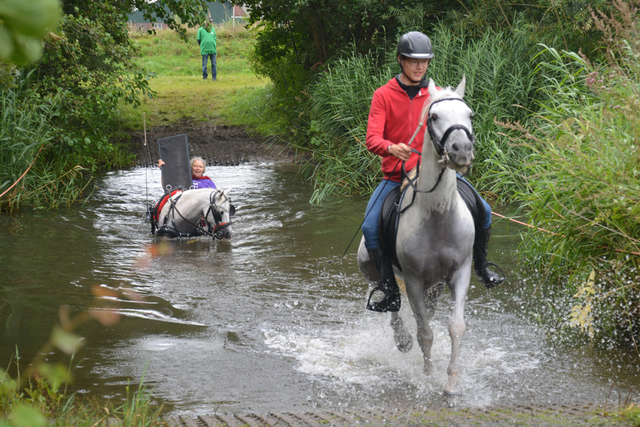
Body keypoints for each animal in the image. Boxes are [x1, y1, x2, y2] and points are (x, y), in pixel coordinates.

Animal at [358, 77, 478, 404]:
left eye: (470, 115)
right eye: (434, 117)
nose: (462, 150)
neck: (438, 217)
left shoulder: (461, 272)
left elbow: (455, 327)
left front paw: (451, 384)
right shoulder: (412, 280)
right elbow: (424, 332)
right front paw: (426, 377)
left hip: (435, 286)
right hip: (371, 268)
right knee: (392, 304)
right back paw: (402, 341)